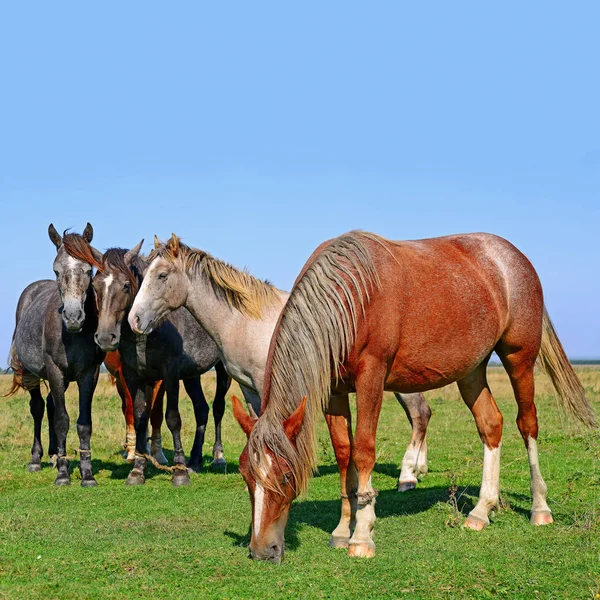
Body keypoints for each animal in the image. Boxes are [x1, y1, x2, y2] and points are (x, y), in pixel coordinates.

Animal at [8, 223, 104, 486]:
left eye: (89, 269)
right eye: (56, 270)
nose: (73, 318)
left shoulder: (88, 374)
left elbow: (84, 423)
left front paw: (87, 474)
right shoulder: (55, 371)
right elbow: (62, 420)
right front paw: (63, 475)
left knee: (50, 405)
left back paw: (53, 455)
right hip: (31, 374)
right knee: (38, 407)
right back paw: (37, 459)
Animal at [92, 241, 231, 486]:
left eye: (126, 285)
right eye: (95, 285)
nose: (106, 337)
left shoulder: (170, 373)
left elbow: (172, 418)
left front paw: (179, 472)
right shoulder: (132, 375)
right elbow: (140, 417)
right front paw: (137, 469)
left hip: (223, 371)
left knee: (217, 408)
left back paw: (217, 457)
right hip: (192, 375)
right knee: (202, 409)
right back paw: (194, 461)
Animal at [230, 231, 596, 564]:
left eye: (286, 476)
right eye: (247, 477)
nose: (262, 550)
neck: (350, 297)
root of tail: (514, 257)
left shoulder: (371, 378)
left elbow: (364, 451)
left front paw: (362, 535)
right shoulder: (334, 392)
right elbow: (344, 454)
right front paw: (342, 529)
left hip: (519, 357)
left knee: (527, 423)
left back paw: (540, 507)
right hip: (472, 371)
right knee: (491, 424)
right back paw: (481, 511)